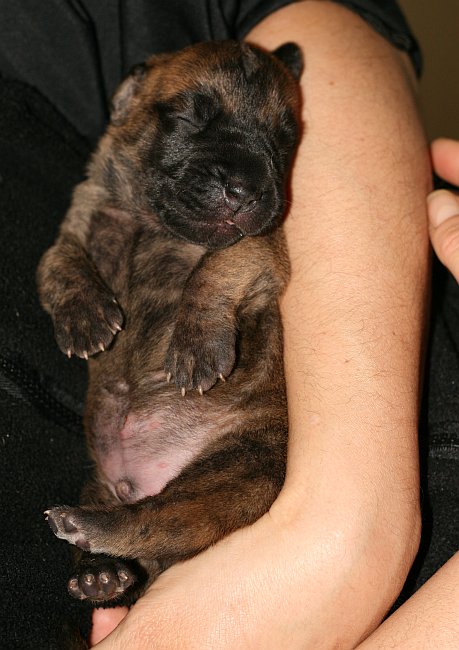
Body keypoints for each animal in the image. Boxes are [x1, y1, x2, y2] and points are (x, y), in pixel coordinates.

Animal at [38, 39, 302, 611]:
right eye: (188, 116)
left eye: (285, 138)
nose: (243, 190)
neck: (150, 221)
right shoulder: (83, 215)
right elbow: (57, 261)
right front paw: (85, 318)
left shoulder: (264, 245)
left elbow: (216, 268)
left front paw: (196, 346)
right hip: (103, 481)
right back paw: (101, 576)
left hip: (241, 466)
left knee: (158, 521)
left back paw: (88, 528)